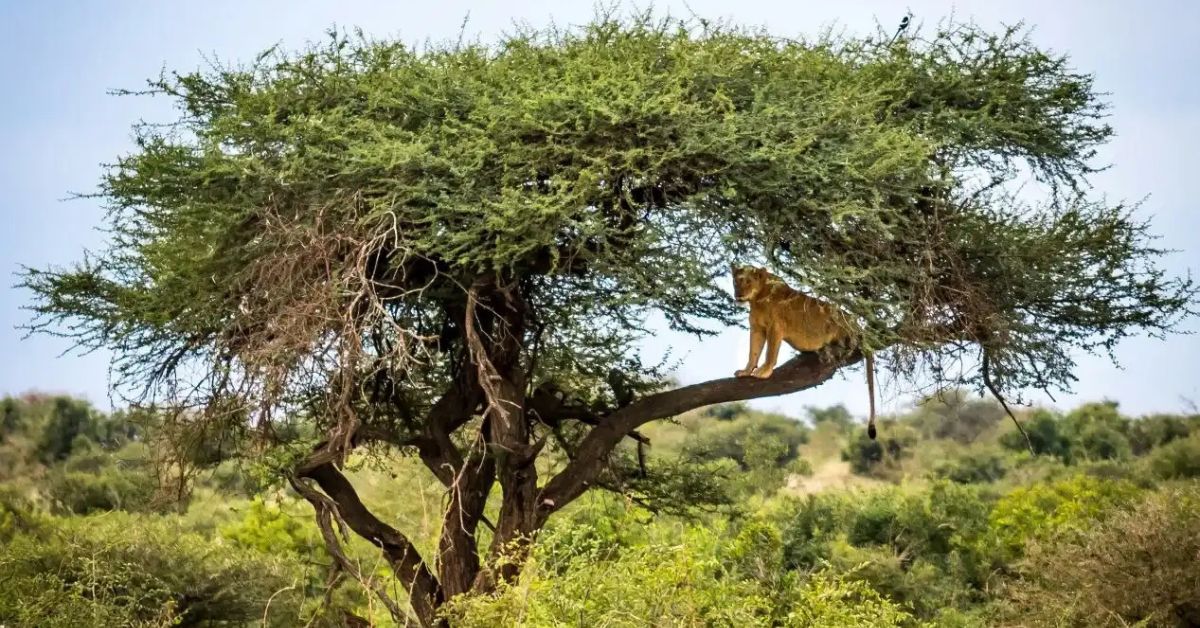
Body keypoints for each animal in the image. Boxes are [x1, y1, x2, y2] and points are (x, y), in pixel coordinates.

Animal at [731, 265, 878, 439]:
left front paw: (764, 371)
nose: (739, 294)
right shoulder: (757, 328)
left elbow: (770, 353)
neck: (757, 300)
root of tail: (858, 326)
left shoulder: (775, 327)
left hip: (840, 325)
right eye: (736, 281)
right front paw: (746, 371)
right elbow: (753, 352)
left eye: (748, 281)